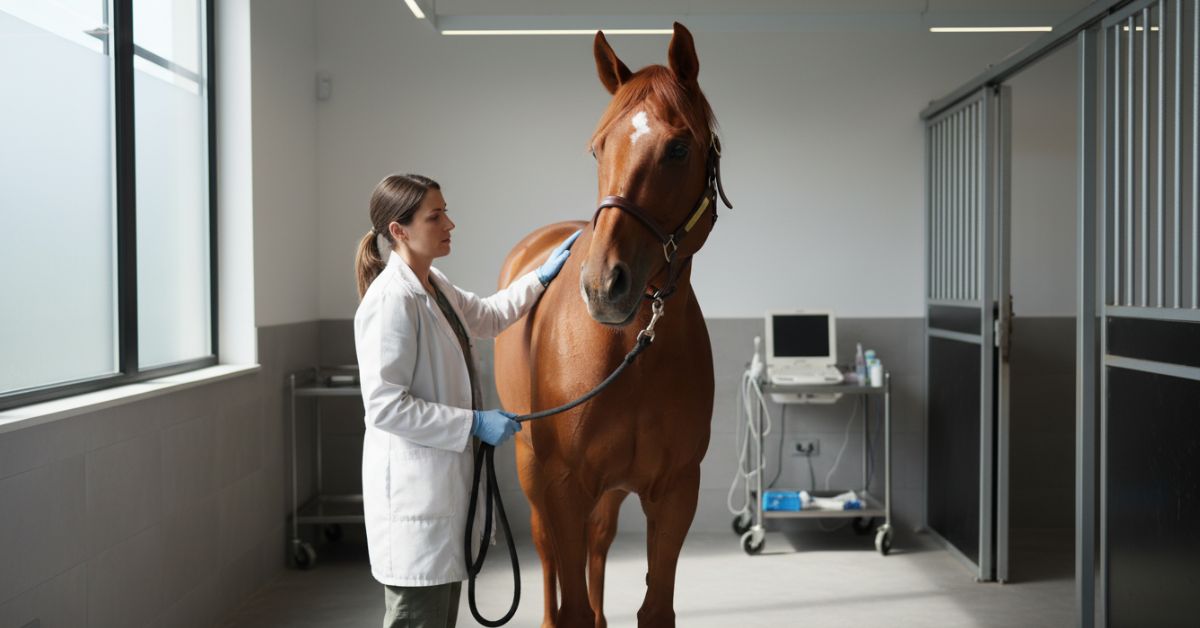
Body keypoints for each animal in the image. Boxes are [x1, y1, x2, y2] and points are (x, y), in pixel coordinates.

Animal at [494, 22, 729, 628]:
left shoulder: (675, 491)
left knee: (598, 541)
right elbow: (571, 600)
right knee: (548, 554)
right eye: (599, 148)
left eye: (678, 147)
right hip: (531, 469)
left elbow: (654, 606)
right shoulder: (562, 485)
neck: (632, 350)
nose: (604, 286)